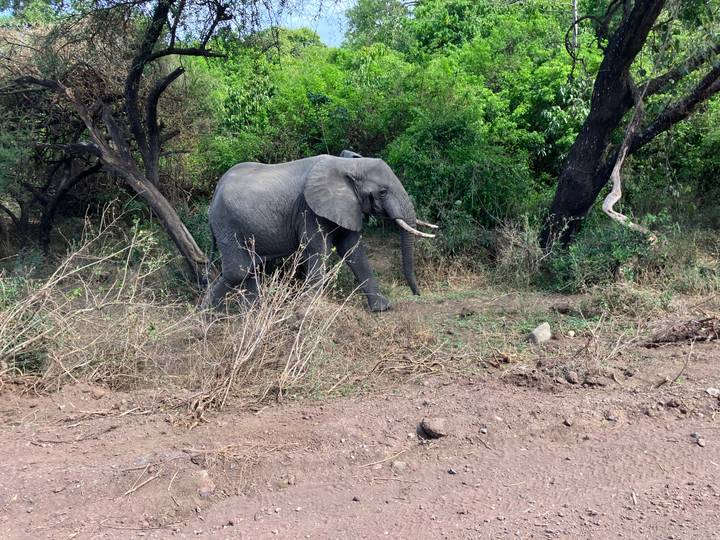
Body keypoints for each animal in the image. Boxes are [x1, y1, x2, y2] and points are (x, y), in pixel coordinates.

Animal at [201, 152, 439, 312]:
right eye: (382, 192)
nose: (417, 294)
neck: (348, 165)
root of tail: (214, 193)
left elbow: (353, 251)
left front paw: (382, 309)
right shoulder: (308, 209)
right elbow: (319, 250)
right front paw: (308, 311)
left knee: (252, 268)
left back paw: (249, 316)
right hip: (226, 224)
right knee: (238, 271)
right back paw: (205, 319)